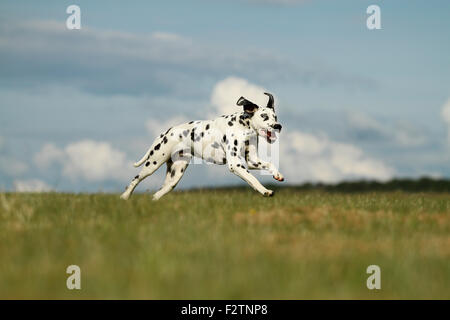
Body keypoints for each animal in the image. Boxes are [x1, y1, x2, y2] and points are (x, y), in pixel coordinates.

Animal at [121, 92, 284, 200]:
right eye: (264, 116)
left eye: (275, 117)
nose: (278, 126)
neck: (243, 126)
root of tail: (165, 132)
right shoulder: (236, 164)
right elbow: (253, 179)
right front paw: (265, 191)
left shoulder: (251, 161)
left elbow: (269, 165)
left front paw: (277, 175)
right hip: (153, 164)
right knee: (135, 180)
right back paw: (125, 197)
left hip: (175, 176)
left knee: (157, 193)